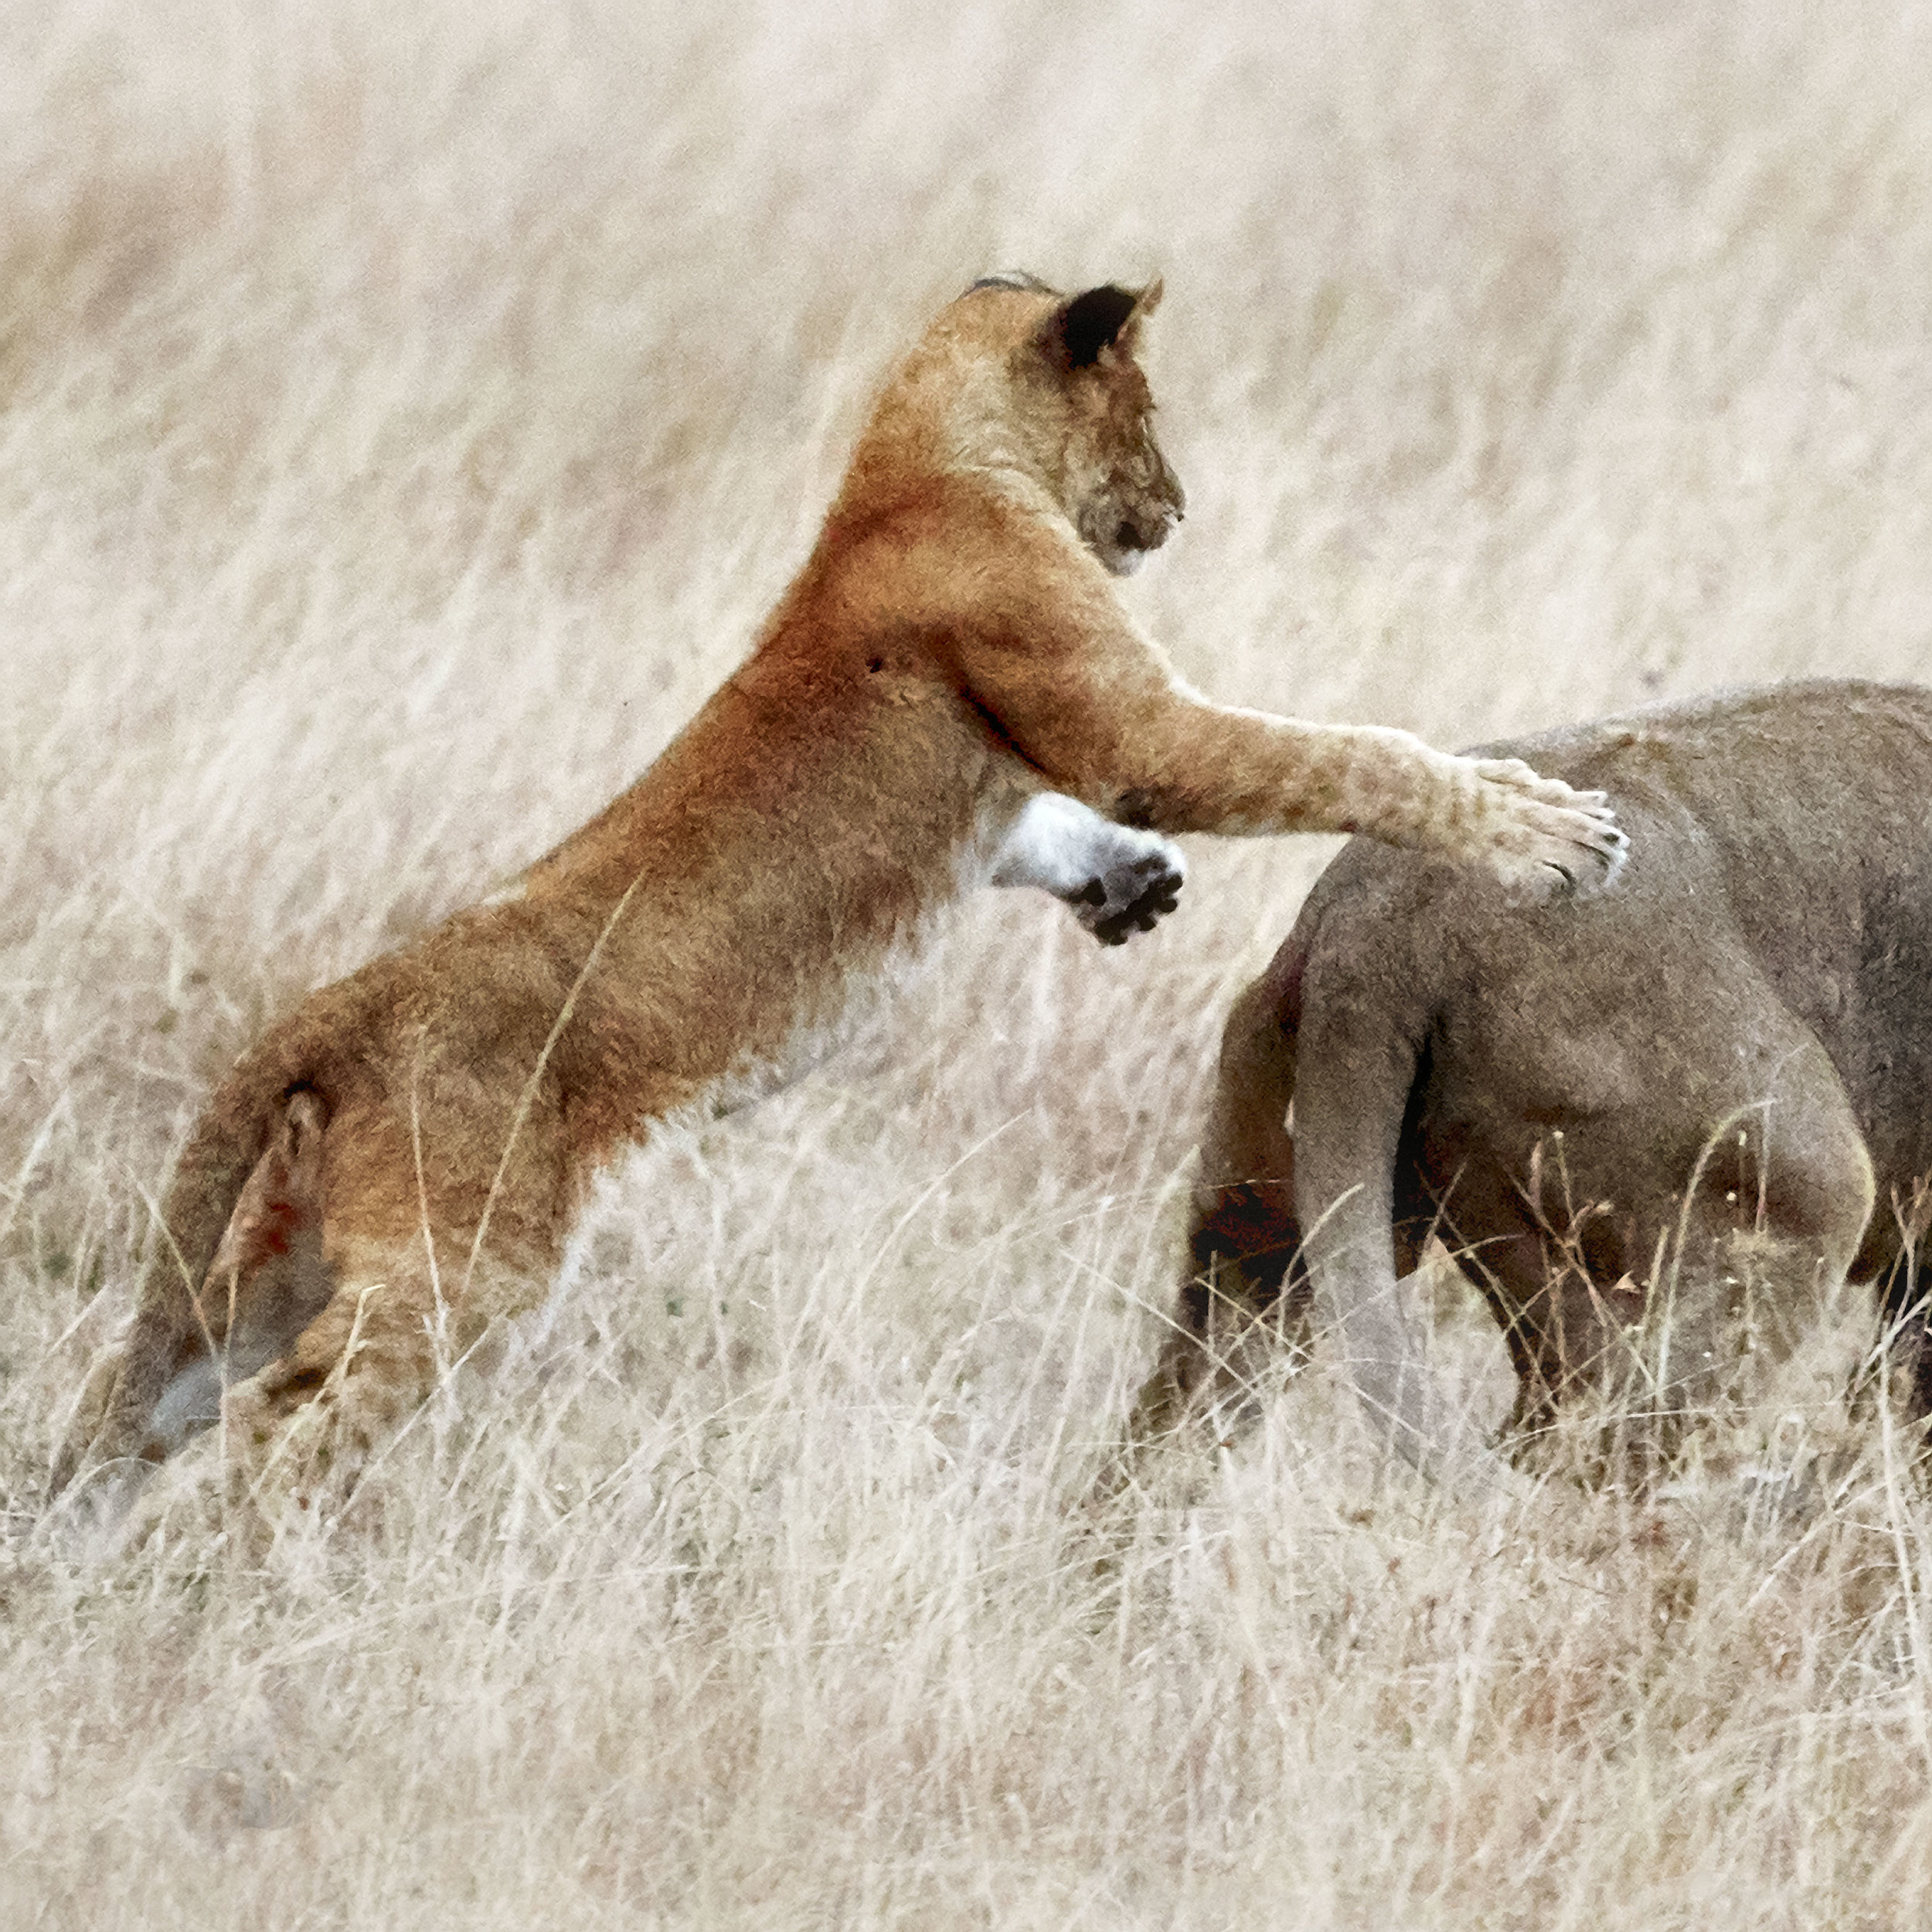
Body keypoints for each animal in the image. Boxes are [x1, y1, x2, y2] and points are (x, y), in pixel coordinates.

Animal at [53, 276, 1623, 1507]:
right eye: (1152, 412)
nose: (1180, 510)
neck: (913, 466)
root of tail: (339, 1010)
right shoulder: (1133, 726)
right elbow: (1352, 754)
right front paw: (1546, 832)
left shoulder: (1025, 767)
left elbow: (1037, 827)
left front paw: (1129, 885)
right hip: (459, 1269)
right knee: (281, 1433)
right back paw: (267, 1593)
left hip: (263, 1270)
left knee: (132, 1416)